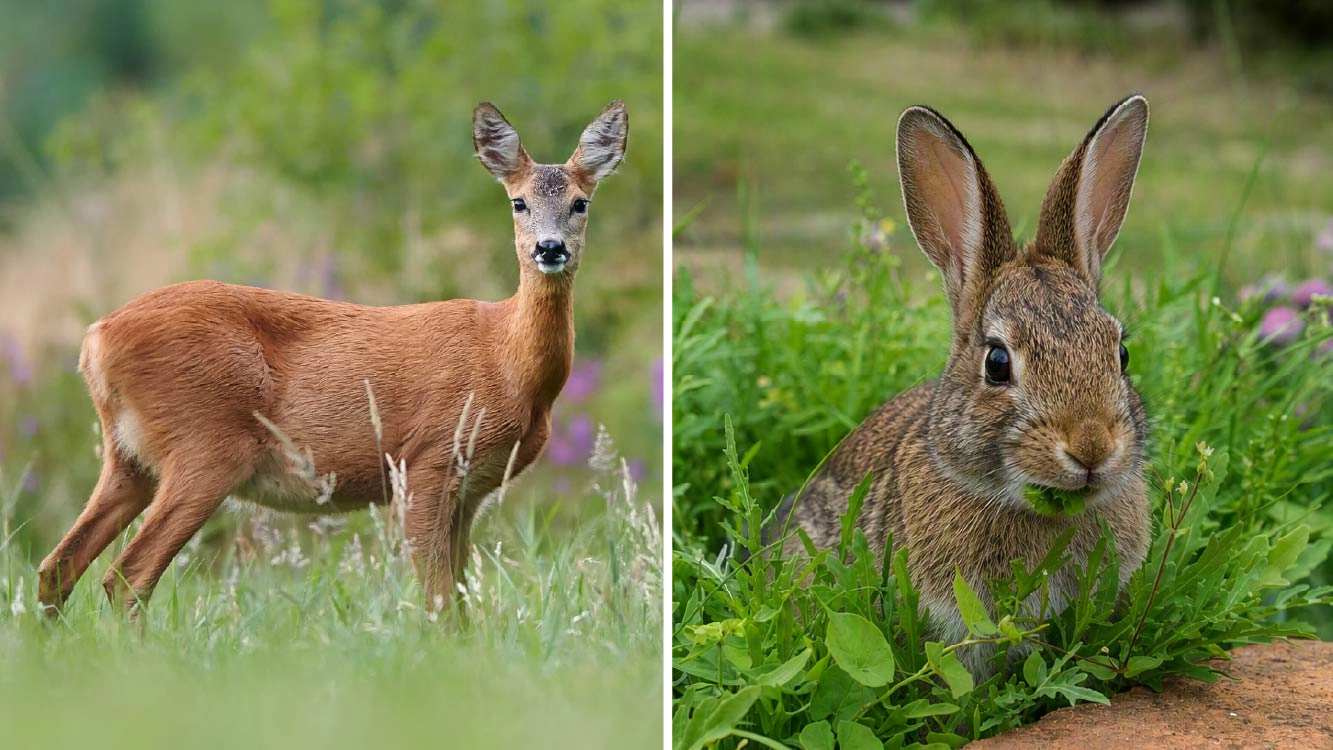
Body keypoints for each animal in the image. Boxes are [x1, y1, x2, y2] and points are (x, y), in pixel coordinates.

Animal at [36, 100, 629, 618]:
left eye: (581, 202)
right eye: (518, 202)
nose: (549, 249)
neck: (507, 363)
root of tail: (95, 339)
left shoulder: (469, 490)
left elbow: (459, 602)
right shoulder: (429, 460)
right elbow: (438, 603)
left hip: (130, 458)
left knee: (57, 566)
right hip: (204, 446)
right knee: (127, 576)